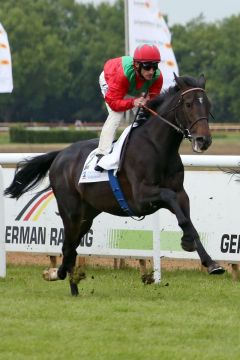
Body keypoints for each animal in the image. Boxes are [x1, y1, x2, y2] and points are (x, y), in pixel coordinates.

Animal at [4, 73, 225, 296]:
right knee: (68, 247)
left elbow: (188, 221)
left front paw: (211, 262)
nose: (203, 140)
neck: (157, 147)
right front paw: (187, 243)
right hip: (71, 211)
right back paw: (63, 280)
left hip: (87, 215)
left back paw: (66, 280)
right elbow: (171, 201)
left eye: (208, 104)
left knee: (72, 248)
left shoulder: (181, 194)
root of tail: (60, 154)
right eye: (188, 104)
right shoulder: (141, 198)